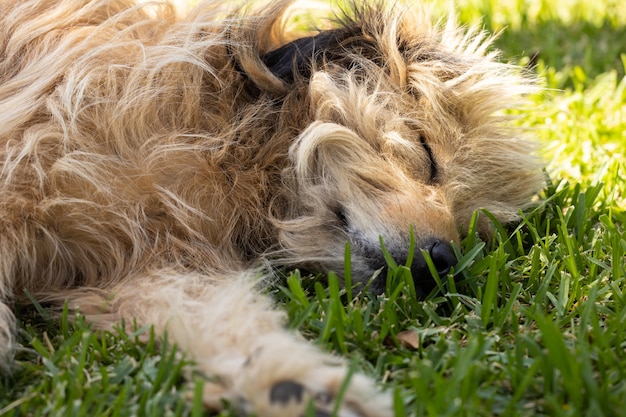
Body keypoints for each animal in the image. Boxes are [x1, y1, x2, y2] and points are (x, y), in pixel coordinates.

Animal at [0, 0, 540, 412]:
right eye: (428, 155)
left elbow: (225, 319)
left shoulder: (143, 270)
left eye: (471, 227)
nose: (442, 263)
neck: (224, 149)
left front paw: (295, 383)